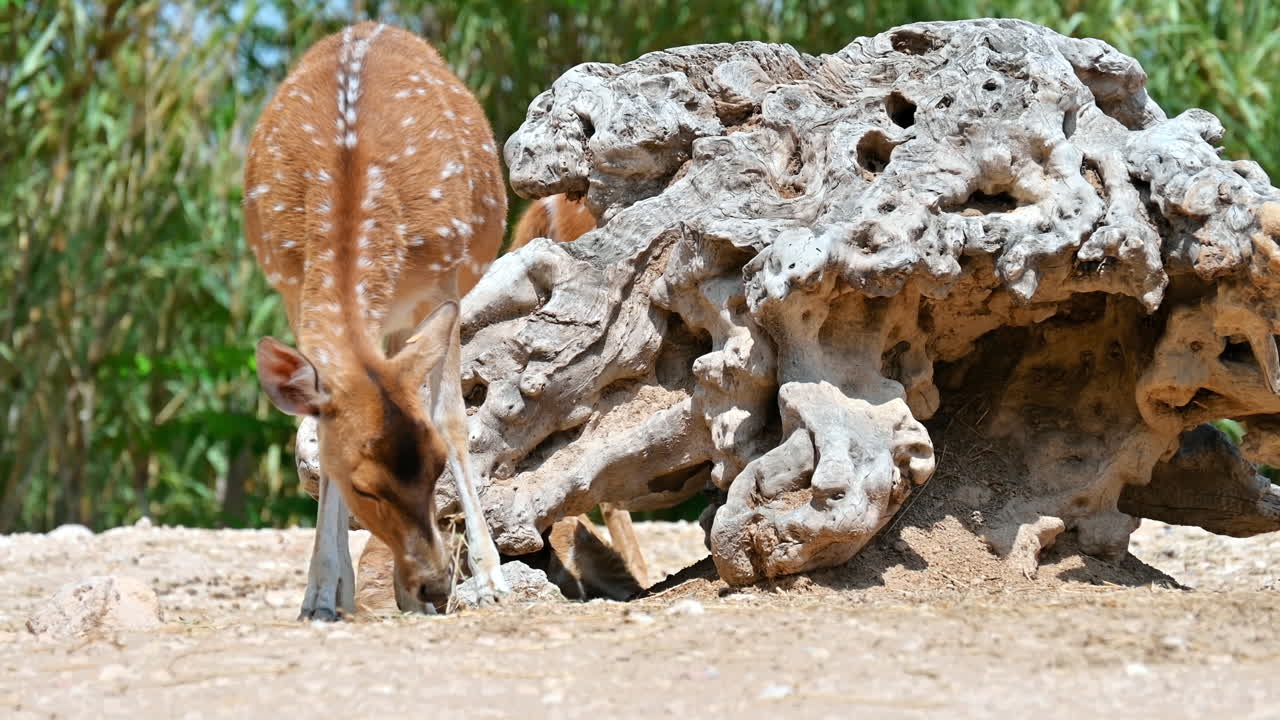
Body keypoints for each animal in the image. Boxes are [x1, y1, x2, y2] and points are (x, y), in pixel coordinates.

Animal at [244, 22, 510, 619]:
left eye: (435, 467)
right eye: (363, 486)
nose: (435, 585)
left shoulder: (442, 282)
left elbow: (453, 421)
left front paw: (490, 580)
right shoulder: (292, 290)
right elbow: (317, 436)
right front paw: (321, 594)